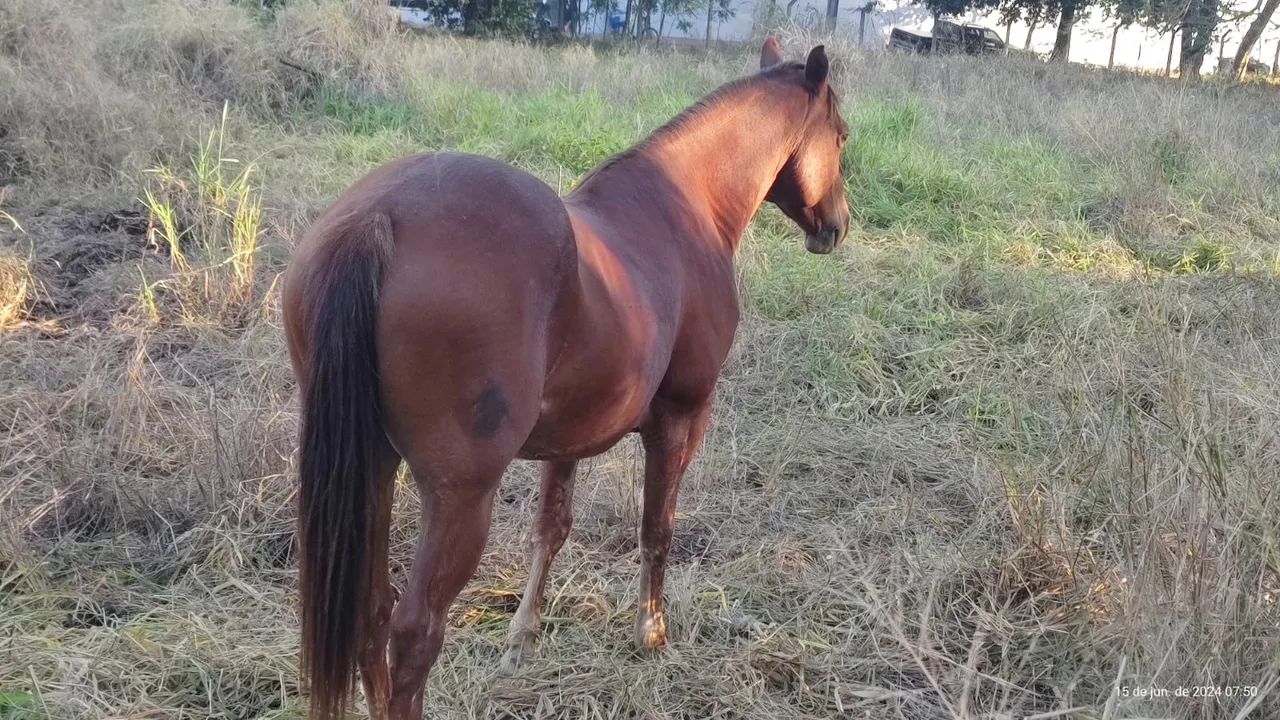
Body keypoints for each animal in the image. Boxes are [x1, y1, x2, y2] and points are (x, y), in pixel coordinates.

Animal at [282, 37, 850, 720]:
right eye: (841, 136)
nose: (836, 226)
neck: (682, 209)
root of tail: (380, 217)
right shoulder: (681, 418)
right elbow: (656, 527)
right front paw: (651, 633)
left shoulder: (568, 437)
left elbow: (550, 530)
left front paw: (520, 641)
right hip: (457, 497)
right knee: (414, 630)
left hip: (371, 467)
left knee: (371, 612)